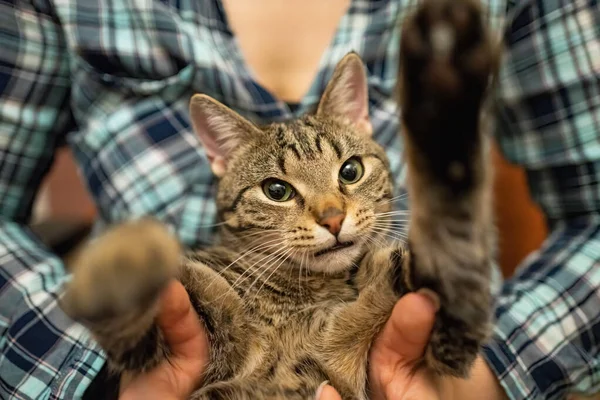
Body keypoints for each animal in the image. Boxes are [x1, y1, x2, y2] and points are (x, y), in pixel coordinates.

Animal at [62, 1, 502, 398]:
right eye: (277, 191)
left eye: (350, 170)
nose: (332, 218)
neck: (308, 292)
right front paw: (121, 263)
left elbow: (453, 241)